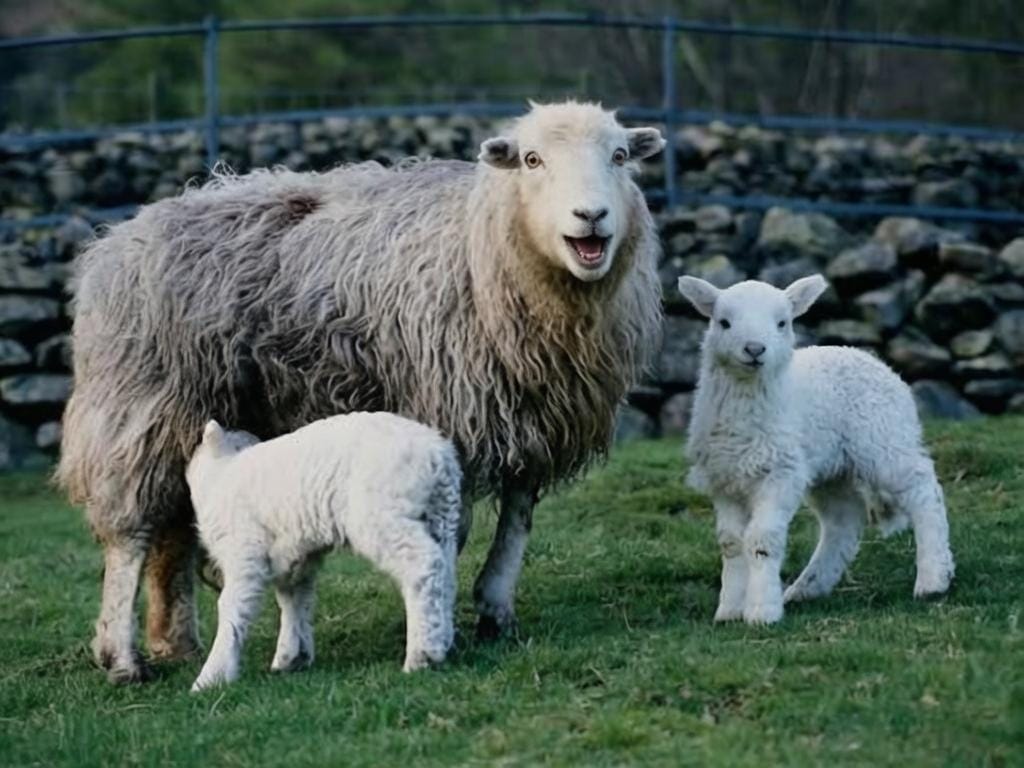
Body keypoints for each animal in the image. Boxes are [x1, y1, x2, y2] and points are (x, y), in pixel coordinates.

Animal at [186, 413, 461, 691]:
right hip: (442, 518)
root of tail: (437, 454)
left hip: (384, 515)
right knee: (446, 576)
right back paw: (442, 640)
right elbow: (294, 601)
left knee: (423, 564)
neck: (219, 477)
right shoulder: (296, 558)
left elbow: (232, 608)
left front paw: (211, 677)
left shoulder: (243, 552)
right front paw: (291, 657)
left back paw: (421, 655)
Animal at [676, 274, 954, 625]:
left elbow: (762, 539)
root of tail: (867, 357)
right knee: (843, 522)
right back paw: (807, 587)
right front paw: (729, 610)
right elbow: (731, 543)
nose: (754, 349)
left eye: (782, 323)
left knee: (923, 489)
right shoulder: (724, 479)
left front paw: (762, 611)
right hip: (834, 467)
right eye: (723, 322)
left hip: (885, 438)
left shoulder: (781, 471)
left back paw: (934, 578)